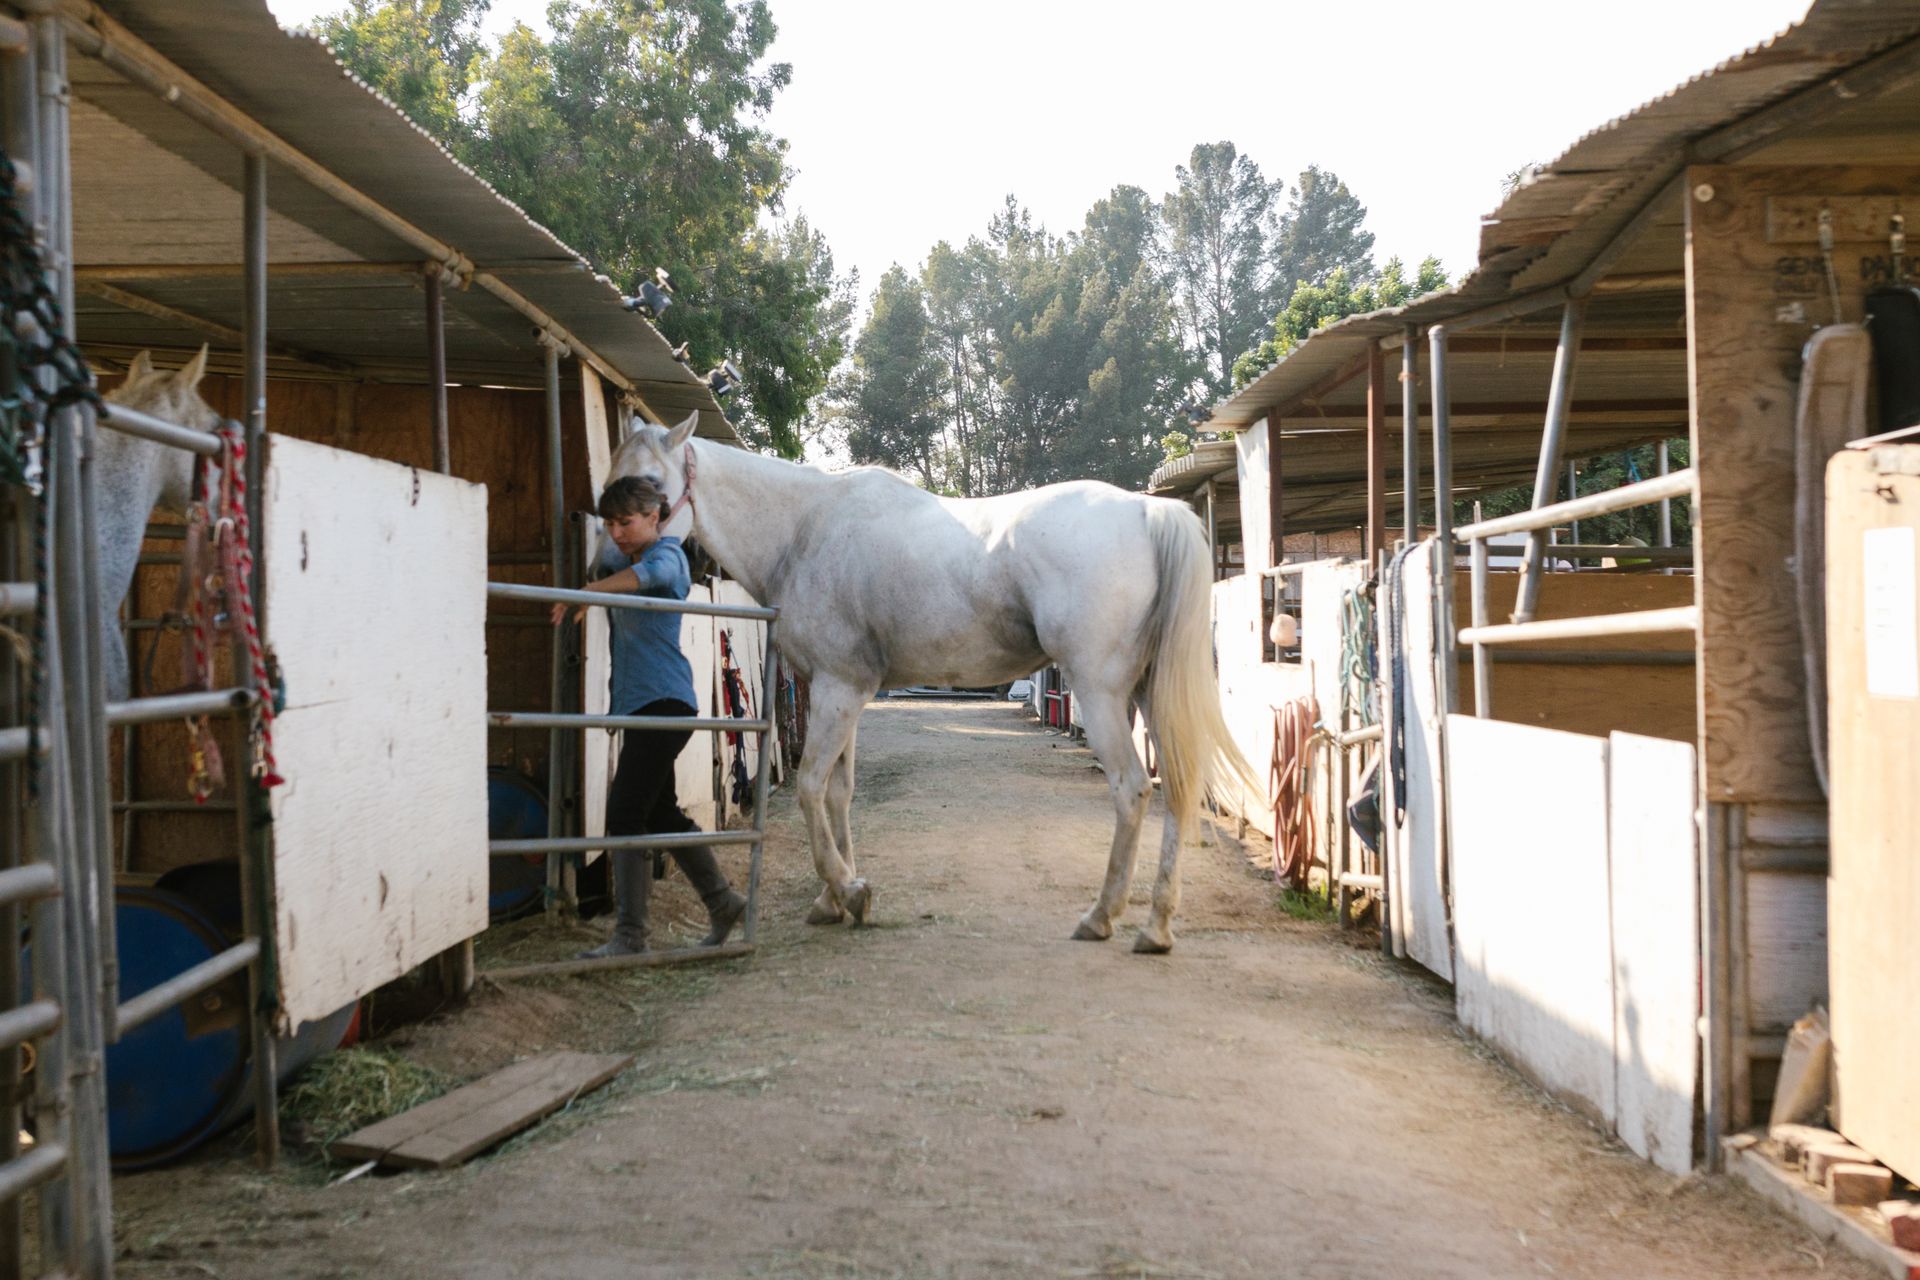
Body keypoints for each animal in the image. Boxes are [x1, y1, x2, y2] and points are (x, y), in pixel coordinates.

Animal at [605, 413, 1260, 953]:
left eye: (651, 484)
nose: (613, 553)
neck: (806, 529)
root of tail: (1147, 511)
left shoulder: (839, 689)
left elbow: (812, 787)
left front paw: (848, 890)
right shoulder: (842, 692)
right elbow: (839, 791)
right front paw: (833, 899)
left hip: (1100, 695)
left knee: (1131, 789)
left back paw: (1101, 917)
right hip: (1147, 693)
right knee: (1176, 789)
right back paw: (1156, 926)